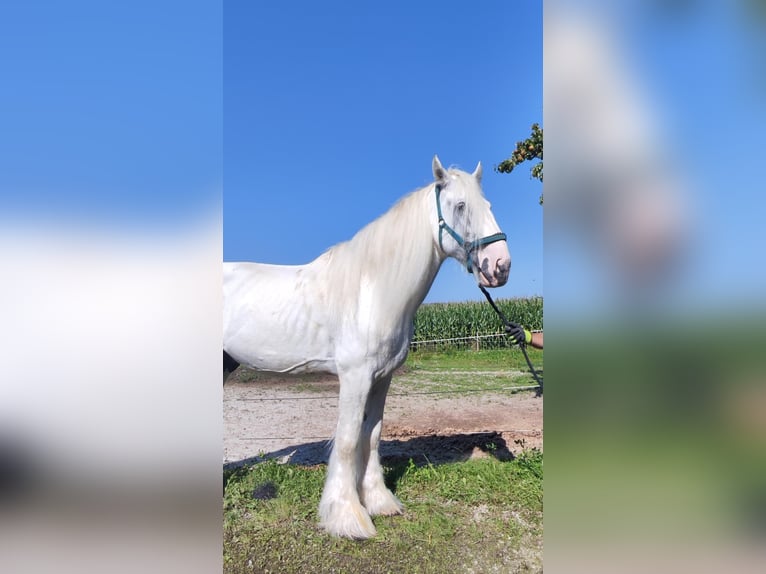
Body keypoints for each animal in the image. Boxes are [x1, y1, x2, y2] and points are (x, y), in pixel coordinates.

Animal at [223, 156, 510, 539]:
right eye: (461, 206)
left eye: (489, 206)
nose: (500, 266)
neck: (372, 291)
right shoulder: (355, 377)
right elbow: (346, 440)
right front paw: (347, 517)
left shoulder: (381, 377)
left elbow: (371, 436)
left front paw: (379, 501)